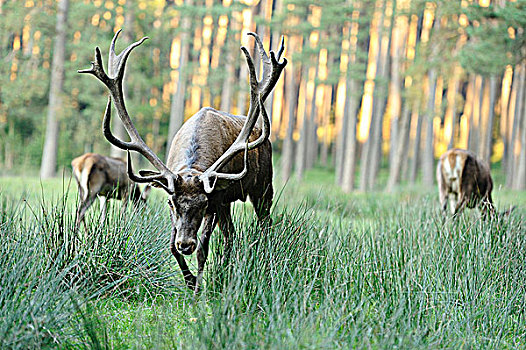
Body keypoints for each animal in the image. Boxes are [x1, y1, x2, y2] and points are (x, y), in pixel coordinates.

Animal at [79, 30, 288, 292]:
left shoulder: (215, 200)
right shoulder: (202, 203)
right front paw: (189, 281)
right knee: (230, 235)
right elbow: (171, 245)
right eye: (171, 202)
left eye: (203, 202)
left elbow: (203, 248)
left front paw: (198, 288)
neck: (191, 167)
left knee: (265, 224)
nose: (185, 244)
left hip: (263, 188)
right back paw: (225, 270)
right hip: (229, 203)